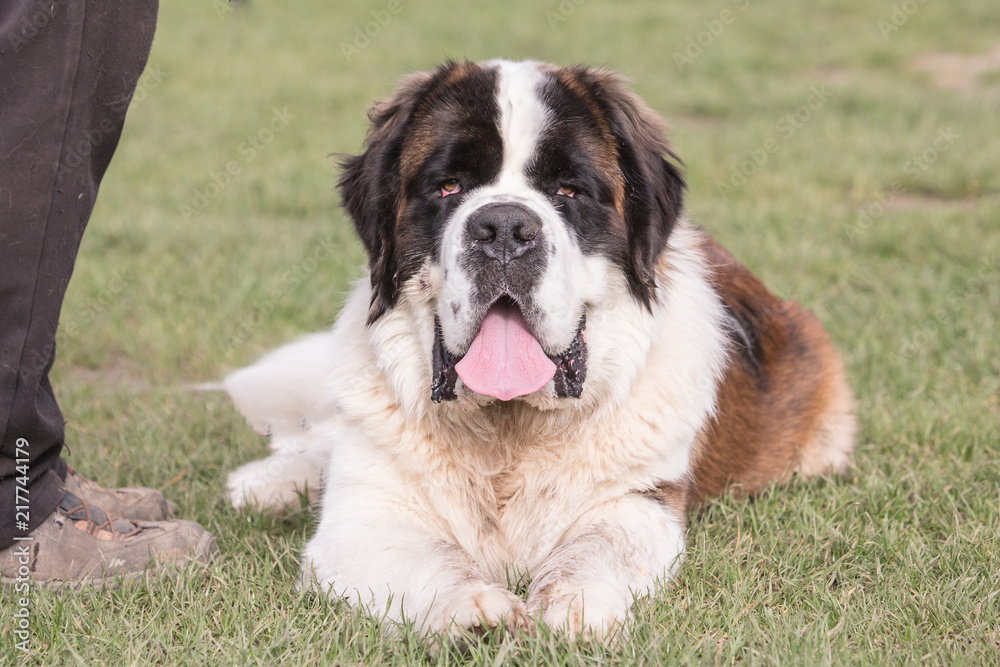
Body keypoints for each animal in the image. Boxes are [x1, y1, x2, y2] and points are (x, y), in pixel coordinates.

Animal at [223, 60, 856, 644]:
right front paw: (474, 610)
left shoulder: (641, 498)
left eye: (568, 191)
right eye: (448, 187)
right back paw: (268, 482)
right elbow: (423, 559)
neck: (509, 437)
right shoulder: (363, 515)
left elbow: (600, 546)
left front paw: (572, 606)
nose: (504, 228)